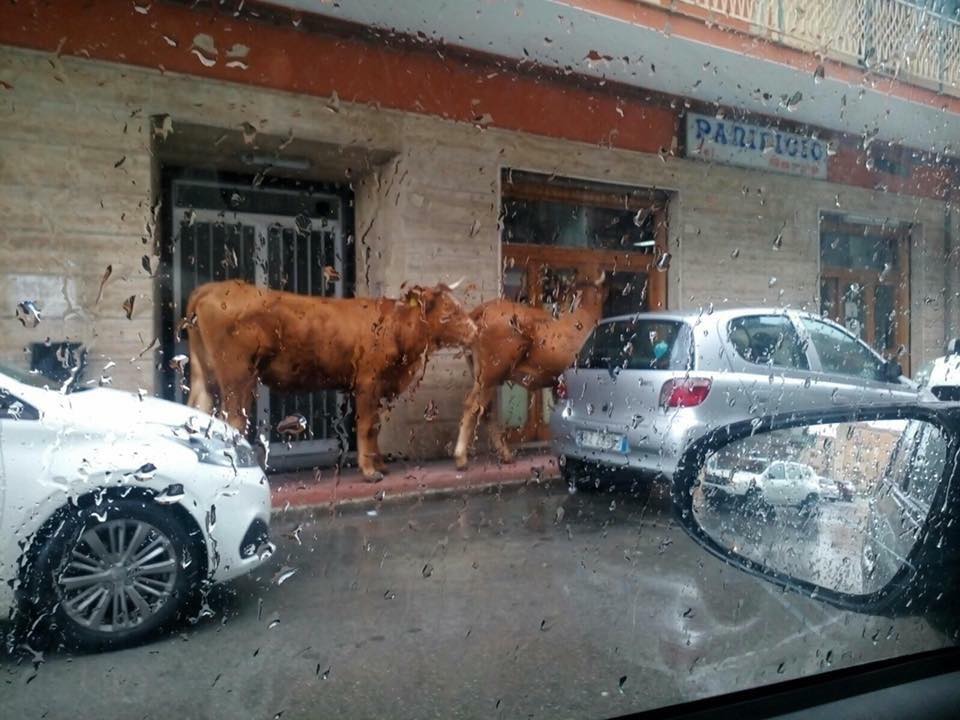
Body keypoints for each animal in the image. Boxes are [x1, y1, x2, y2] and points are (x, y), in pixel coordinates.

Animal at [184, 279, 477, 480]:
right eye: (449, 313)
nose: (475, 330)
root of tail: (212, 287)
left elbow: (376, 426)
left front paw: (380, 465)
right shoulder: (368, 381)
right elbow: (366, 426)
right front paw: (369, 471)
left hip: (204, 376)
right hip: (238, 378)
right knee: (233, 422)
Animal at [453, 271, 607, 470]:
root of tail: (481, 310)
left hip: (482, 373)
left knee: (485, 410)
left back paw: (505, 454)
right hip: (491, 372)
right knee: (472, 406)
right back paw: (461, 457)